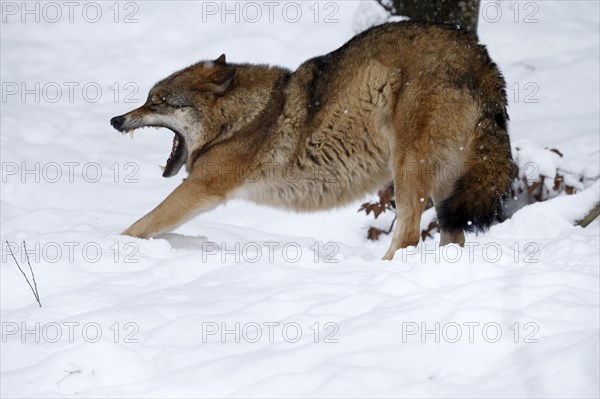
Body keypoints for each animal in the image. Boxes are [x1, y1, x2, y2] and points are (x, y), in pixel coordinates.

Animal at [110, 21, 512, 260]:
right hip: (448, 187)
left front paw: (113, 244)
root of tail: (479, 56)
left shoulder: (204, 186)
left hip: (409, 170)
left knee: (411, 234)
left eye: (158, 102)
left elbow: (143, 223)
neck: (242, 119)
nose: (115, 120)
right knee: (452, 237)